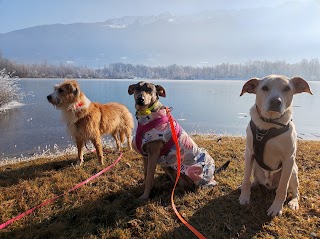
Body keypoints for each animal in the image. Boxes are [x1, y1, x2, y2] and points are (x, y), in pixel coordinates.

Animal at [240, 74, 312, 217]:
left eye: (287, 88)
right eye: (264, 88)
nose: (275, 101)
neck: (269, 124)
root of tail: (269, 185)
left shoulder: (289, 159)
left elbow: (283, 188)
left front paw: (277, 207)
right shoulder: (249, 153)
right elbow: (246, 178)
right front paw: (244, 196)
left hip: (293, 171)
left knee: (295, 191)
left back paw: (294, 202)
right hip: (256, 165)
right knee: (254, 180)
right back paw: (252, 185)